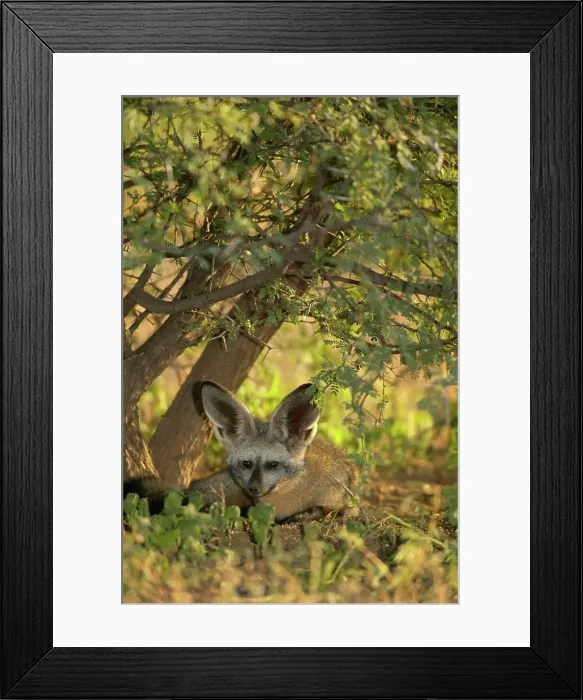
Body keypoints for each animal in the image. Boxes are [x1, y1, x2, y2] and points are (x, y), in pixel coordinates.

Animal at [124, 381, 358, 522]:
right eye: (247, 464)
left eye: (273, 465)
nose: (253, 488)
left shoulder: (343, 502)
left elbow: (325, 510)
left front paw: (305, 514)